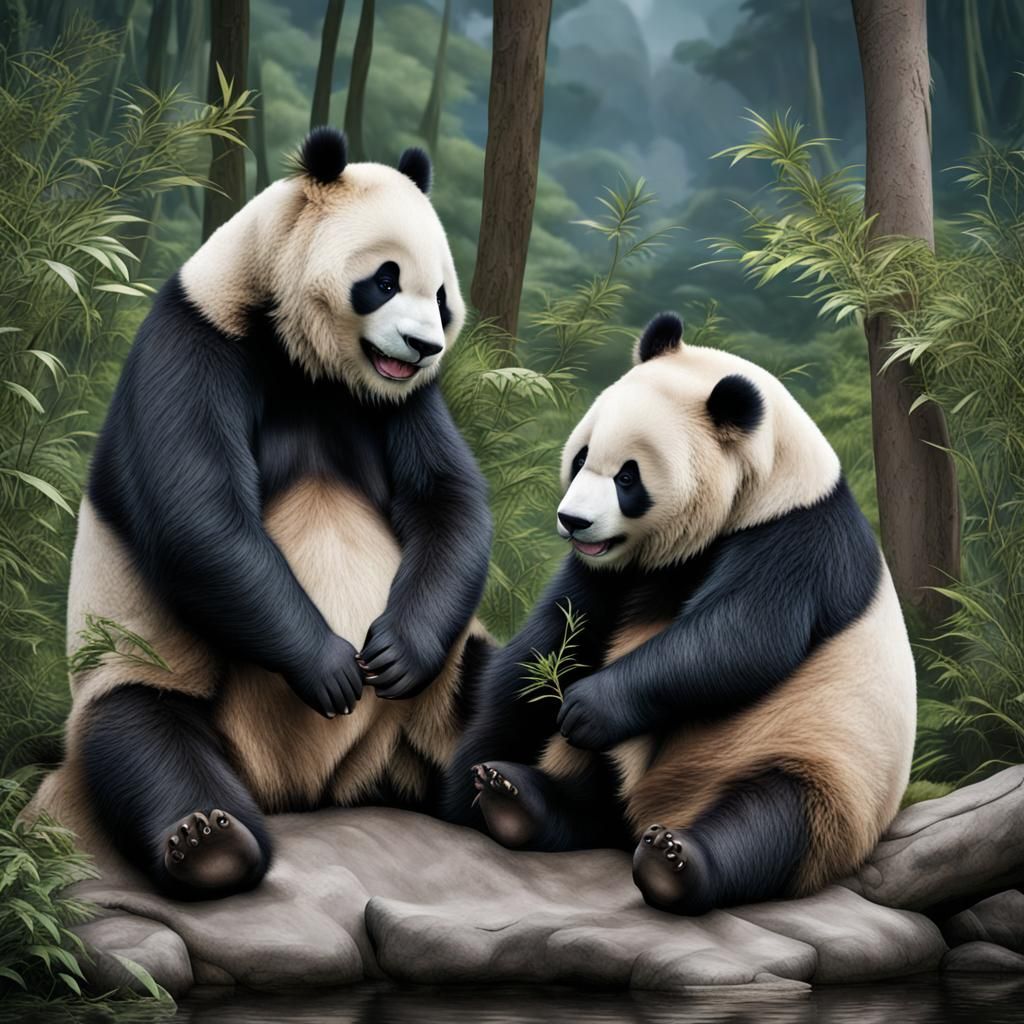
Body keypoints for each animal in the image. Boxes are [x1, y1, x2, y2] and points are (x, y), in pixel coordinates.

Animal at [30, 128, 493, 900]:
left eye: (442, 296)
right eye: (385, 279)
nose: (425, 347)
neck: (308, 363)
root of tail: (320, 787)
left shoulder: (403, 402)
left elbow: (448, 500)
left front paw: (394, 654)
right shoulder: (198, 344)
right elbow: (199, 516)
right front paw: (332, 668)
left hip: (443, 694)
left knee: (516, 684)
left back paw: (513, 794)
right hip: (150, 666)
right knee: (144, 739)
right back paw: (209, 840)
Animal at [442, 312, 916, 915]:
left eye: (628, 477)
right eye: (581, 457)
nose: (573, 521)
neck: (767, 485)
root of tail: (650, 812)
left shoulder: (798, 540)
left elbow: (742, 640)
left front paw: (586, 708)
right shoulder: (615, 573)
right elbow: (548, 646)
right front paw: (468, 779)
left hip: (817, 768)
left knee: (772, 817)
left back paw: (675, 861)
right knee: (595, 801)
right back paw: (515, 799)